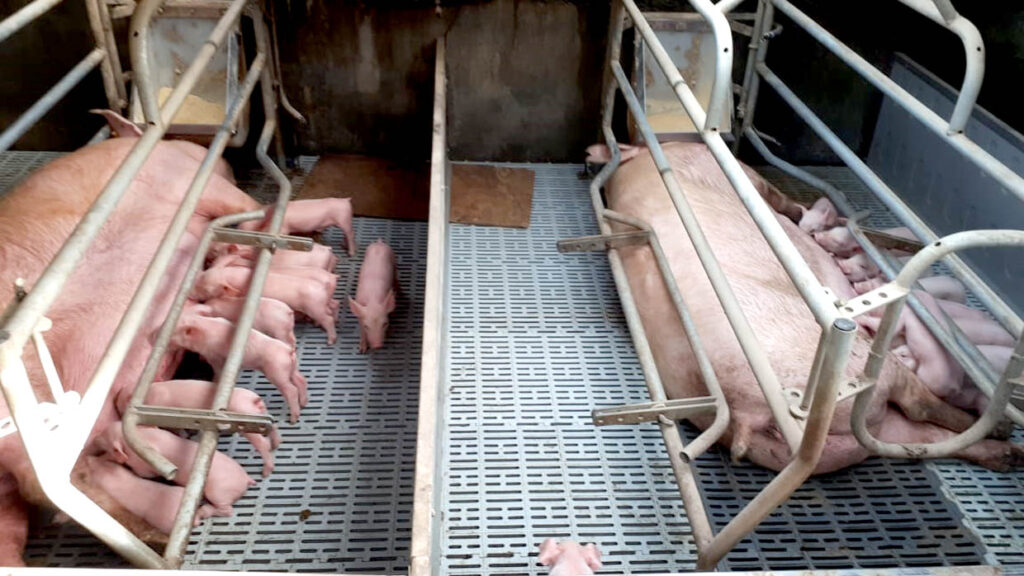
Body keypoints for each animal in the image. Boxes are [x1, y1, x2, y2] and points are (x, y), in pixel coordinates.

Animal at [94, 422, 255, 515]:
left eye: (105, 436)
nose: (94, 437)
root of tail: (246, 479)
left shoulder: (143, 468)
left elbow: (142, 473)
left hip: (219, 492)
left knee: (227, 510)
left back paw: (204, 511)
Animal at [115, 380, 281, 477]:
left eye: (123, 401)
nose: (118, 411)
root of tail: (254, 399)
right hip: (262, 413)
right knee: (274, 426)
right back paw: (277, 444)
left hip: (248, 420)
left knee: (262, 443)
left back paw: (266, 472)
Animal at [171, 312, 307, 423]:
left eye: (175, 331)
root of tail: (288, 351)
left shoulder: (215, 356)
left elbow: (218, 370)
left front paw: (215, 380)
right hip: (291, 368)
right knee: (301, 380)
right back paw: (303, 403)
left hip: (277, 371)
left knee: (291, 389)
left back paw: (293, 419)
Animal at [192, 266, 339, 345]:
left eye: (206, 289)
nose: (190, 295)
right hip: (323, 302)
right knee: (334, 305)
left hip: (314, 307)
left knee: (327, 319)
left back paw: (330, 340)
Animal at [606, 142, 1022, 473]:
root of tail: (748, 410)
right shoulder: (754, 180)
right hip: (858, 374)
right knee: (920, 407)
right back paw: (1003, 430)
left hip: (849, 437)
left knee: (917, 439)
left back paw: (1009, 456)